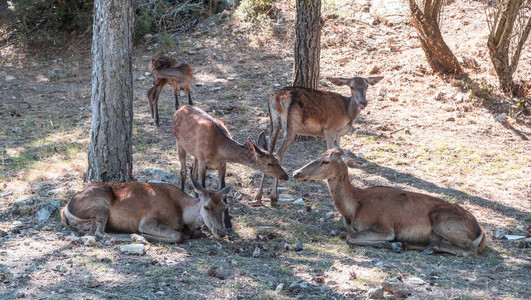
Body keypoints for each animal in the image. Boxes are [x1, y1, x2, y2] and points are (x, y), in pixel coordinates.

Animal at [60, 177, 231, 243]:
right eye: (207, 207)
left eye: (225, 207)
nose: (222, 232)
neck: (182, 213)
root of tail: (65, 208)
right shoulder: (148, 221)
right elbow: (178, 236)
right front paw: (143, 235)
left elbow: (198, 232)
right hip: (101, 206)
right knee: (99, 232)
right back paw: (134, 236)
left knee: (91, 231)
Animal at [256, 75, 384, 206]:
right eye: (352, 87)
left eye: (366, 86)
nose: (363, 102)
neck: (348, 114)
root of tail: (277, 98)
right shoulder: (330, 129)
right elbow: (330, 151)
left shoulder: (338, 134)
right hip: (291, 127)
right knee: (279, 153)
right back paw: (273, 196)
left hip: (274, 123)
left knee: (268, 151)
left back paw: (259, 195)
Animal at [294, 142, 488, 256]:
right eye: (319, 155)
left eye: (326, 161)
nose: (296, 173)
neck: (353, 208)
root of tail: (480, 231)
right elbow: (343, 233)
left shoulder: (385, 226)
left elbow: (351, 237)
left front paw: (392, 245)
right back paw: (415, 245)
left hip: (444, 222)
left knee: (473, 250)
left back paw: (424, 247)